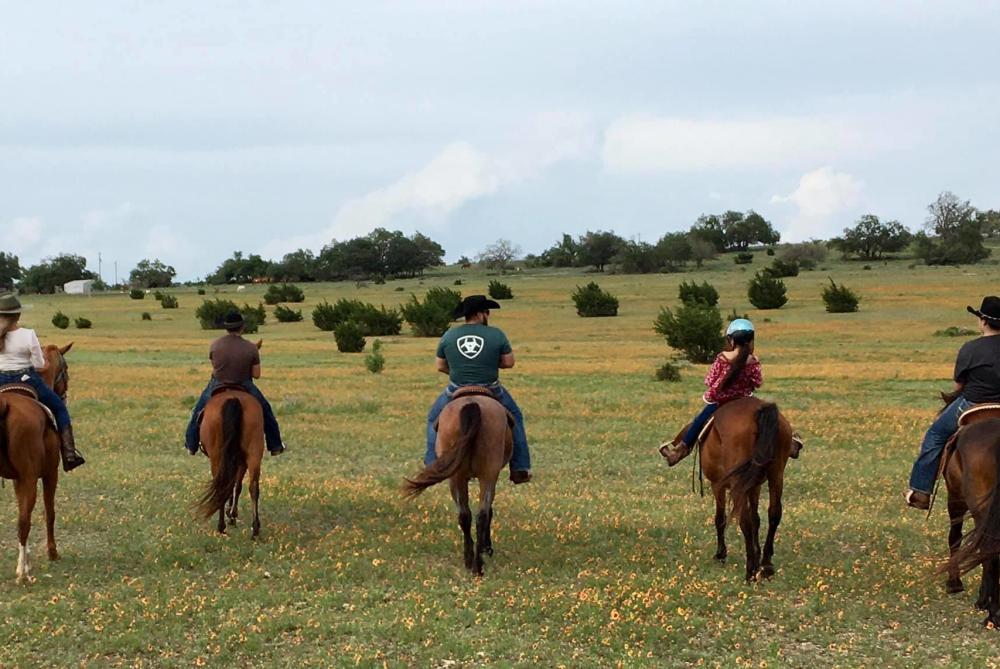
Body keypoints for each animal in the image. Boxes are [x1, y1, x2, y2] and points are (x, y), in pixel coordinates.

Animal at [0, 342, 72, 580]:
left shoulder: (18, 479)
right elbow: (49, 512)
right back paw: (22, 573)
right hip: (32, 478)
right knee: (23, 522)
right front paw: (52, 553)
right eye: (66, 369)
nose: (64, 394)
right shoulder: (49, 474)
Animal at [195, 388, 264, 540]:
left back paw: (221, 526)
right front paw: (232, 513)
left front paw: (231, 514)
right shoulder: (241, 461)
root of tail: (233, 398)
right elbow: (236, 486)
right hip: (254, 454)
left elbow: (234, 485)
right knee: (254, 487)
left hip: (217, 458)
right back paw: (255, 529)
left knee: (222, 486)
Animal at [404, 392, 512, 576]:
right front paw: (487, 547)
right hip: (484, 474)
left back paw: (473, 563)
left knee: (467, 515)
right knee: (479, 514)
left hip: (461, 477)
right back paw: (476, 563)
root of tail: (472, 404)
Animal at [684, 396, 792, 580]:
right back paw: (766, 565)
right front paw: (757, 554)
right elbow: (756, 518)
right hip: (776, 475)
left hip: (736, 483)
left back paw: (750, 571)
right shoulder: (754, 485)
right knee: (774, 513)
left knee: (744, 520)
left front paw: (721, 554)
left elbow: (720, 518)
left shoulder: (718, 485)